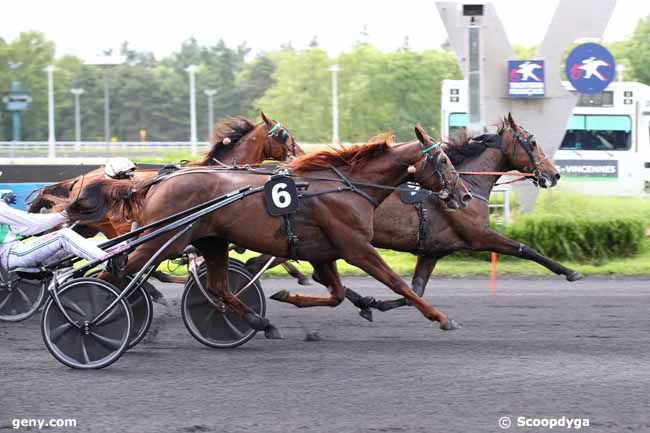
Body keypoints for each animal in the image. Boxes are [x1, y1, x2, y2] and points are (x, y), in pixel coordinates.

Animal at [68, 125, 468, 334]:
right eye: (444, 160)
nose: (463, 194)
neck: (345, 186)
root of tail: (157, 181)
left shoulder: (323, 253)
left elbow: (337, 294)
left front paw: (288, 296)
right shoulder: (356, 247)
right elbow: (398, 283)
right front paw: (442, 318)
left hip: (210, 241)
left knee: (217, 286)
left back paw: (257, 321)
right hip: (165, 241)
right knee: (113, 272)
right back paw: (94, 316)